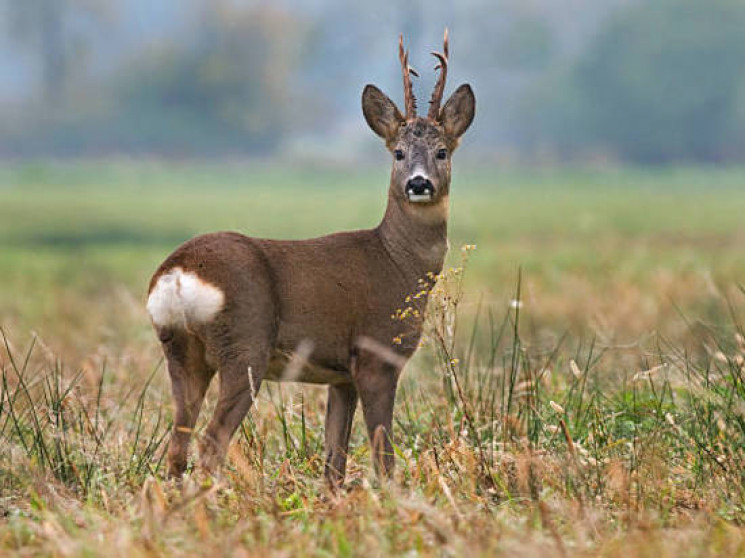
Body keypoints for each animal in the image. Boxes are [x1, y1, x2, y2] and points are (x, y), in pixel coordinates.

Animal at [145, 30, 474, 488]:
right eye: (398, 153)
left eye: (442, 151)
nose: (419, 184)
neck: (398, 262)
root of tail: (177, 273)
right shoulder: (376, 354)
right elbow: (383, 455)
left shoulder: (341, 377)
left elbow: (334, 461)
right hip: (244, 346)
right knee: (211, 442)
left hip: (180, 350)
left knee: (177, 445)